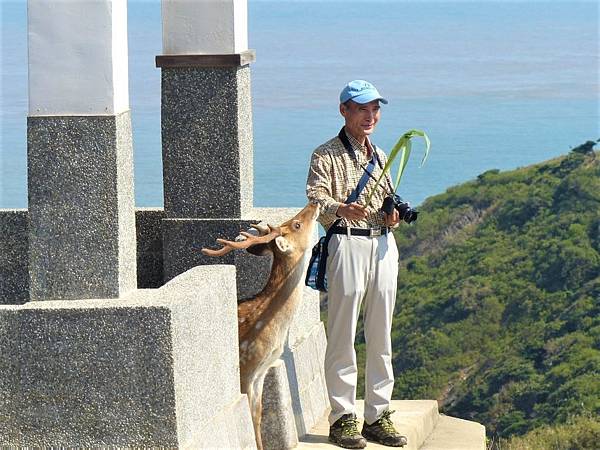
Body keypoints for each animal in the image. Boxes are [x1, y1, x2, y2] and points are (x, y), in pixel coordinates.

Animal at [202, 202, 322, 448]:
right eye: (296, 224)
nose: (314, 203)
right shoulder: (245, 370)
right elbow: (248, 416)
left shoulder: (261, 371)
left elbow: (257, 415)